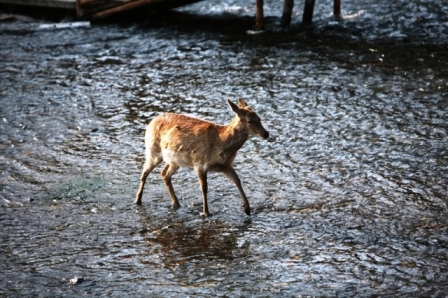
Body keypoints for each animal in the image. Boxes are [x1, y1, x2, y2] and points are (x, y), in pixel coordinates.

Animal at [135, 98, 270, 217]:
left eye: (260, 118)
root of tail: (151, 122)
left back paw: (176, 203)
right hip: (153, 151)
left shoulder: (226, 165)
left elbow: (237, 180)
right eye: (250, 121)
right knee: (145, 171)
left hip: (175, 161)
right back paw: (137, 200)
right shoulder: (199, 163)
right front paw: (206, 212)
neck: (220, 143)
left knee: (164, 174)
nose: (266, 134)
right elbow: (204, 188)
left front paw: (247, 209)